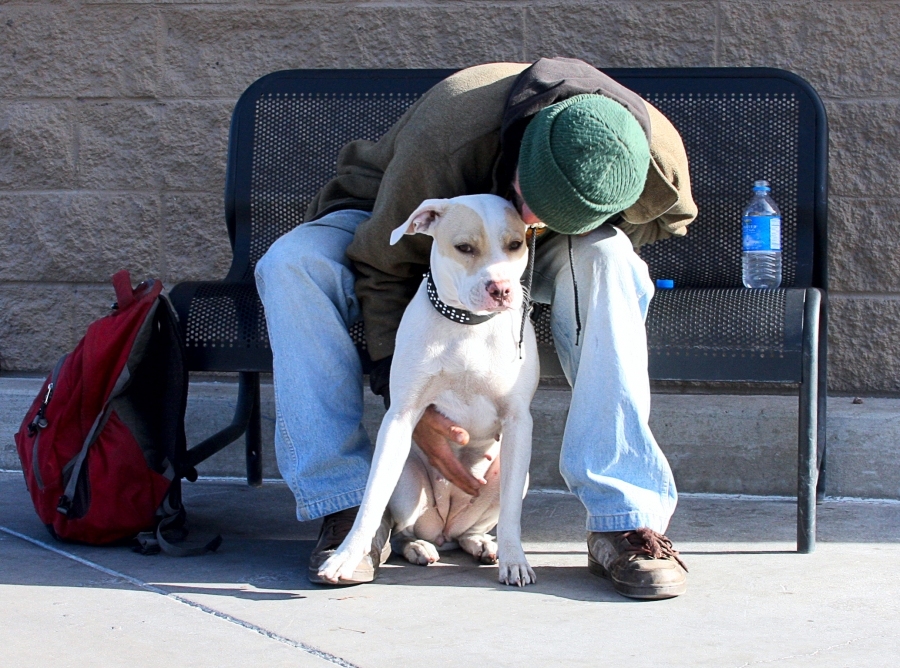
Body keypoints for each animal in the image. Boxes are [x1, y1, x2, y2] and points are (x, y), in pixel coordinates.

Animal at [318, 193, 536, 584]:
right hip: (408, 482)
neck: (469, 325)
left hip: (512, 478)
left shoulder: (517, 423)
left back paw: (482, 544)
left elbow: (512, 512)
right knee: (403, 530)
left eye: (515, 245)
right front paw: (345, 556)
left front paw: (515, 560)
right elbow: (371, 500)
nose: (501, 289)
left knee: (472, 529)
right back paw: (418, 547)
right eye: (464, 248)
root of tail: (445, 528)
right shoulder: (400, 418)